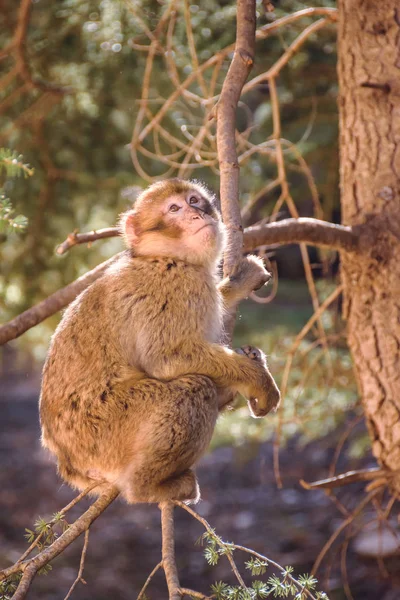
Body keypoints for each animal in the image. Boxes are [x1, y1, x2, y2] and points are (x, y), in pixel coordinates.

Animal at [39, 179, 280, 506]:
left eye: (194, 201)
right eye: (174, 209)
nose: (196, 214)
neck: (165, 257)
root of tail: (68, 462)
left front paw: (238, 283)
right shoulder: (173, 286)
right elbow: (167, 360)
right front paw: (258, 381)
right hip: (104, 432)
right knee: (194, 389)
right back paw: (147, 486)